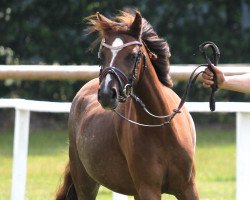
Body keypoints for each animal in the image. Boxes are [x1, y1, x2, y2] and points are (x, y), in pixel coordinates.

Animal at [56, 10, 199, 200]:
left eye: (132, 55)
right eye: (102, 55)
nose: (106, 94)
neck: (161, 128)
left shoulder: (187, 188)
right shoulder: (148, 189)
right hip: (86, 184)